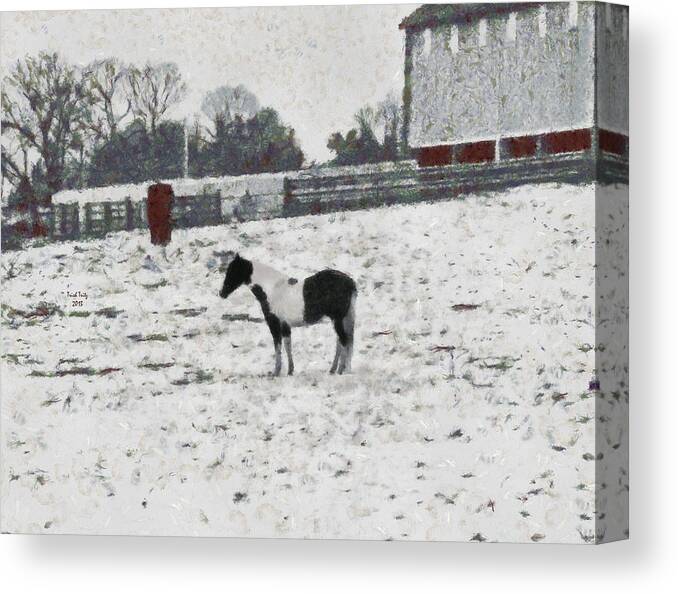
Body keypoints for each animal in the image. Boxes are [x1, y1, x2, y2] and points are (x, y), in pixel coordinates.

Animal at [220, 253, 358, 374]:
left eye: (233, 271)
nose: (222, 293)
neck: (272, 289)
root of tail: (350, 283)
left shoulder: (274, 324)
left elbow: (278, 347)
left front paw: (276, 372)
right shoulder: (285, 325)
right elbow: (287, 346)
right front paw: (290, 370)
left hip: (338, 319)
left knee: (344, 341)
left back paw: (340, 370)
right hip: (341, 319)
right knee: (341, 342)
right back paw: (333, 370)